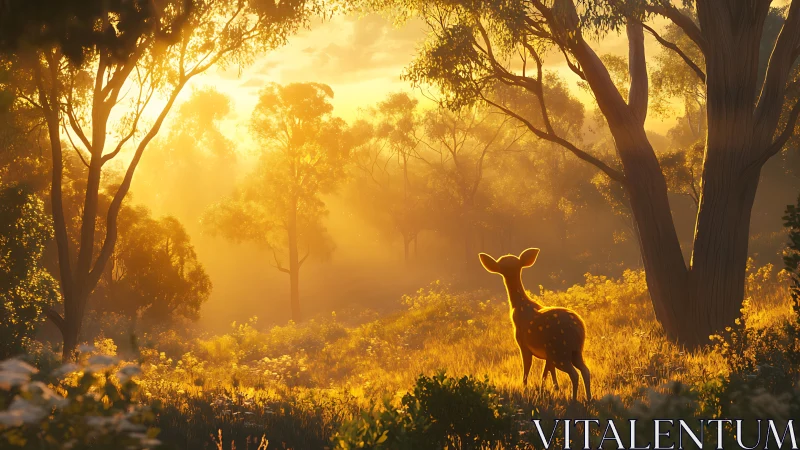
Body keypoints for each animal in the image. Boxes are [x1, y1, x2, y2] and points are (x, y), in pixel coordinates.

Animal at [479, 248, 591, 401]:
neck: (519, 306)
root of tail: (579, 330)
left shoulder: (523, 344)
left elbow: (527, 369)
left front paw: (525, 388)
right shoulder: (547, 355)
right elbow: (547, 373)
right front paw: (551, 389)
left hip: (560, 351)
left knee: (574, 374)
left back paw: (574, 400)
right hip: (575, 351)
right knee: (586, 371)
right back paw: (589, 398)